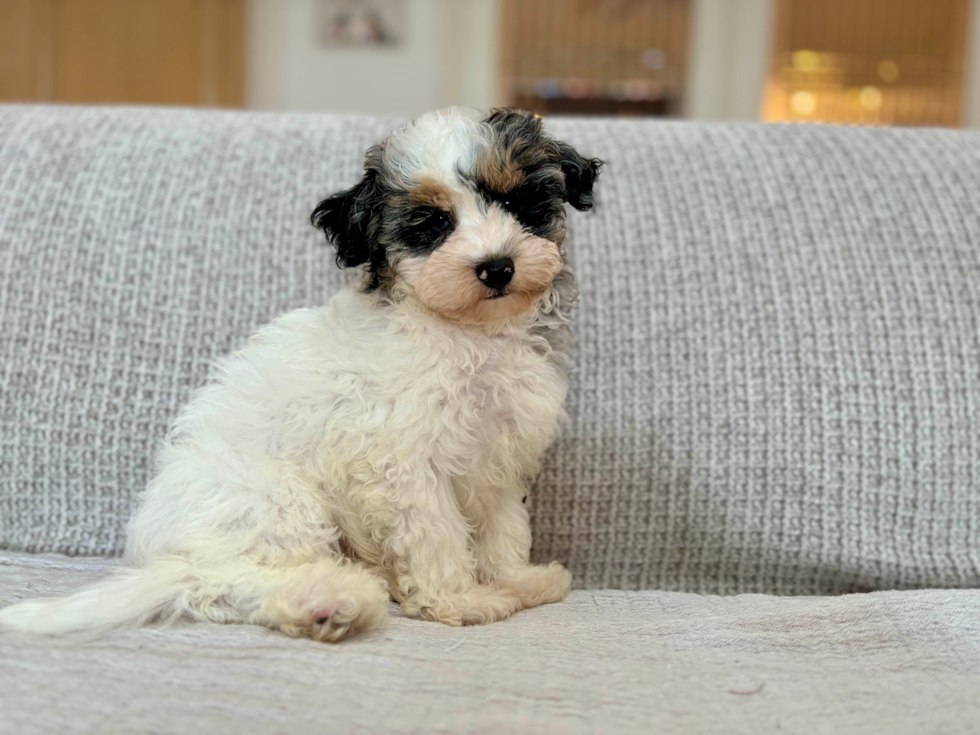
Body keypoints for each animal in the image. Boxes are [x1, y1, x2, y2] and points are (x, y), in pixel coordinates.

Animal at [0, 108, 600, 644]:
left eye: (517, 203)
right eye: (433, 225)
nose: (496, 267)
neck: (470, 333)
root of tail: (169, 558)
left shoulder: (501, 453)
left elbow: (502, 528)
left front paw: (517, 581)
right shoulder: (404, 463)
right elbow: (436, 534)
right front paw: (461, 601)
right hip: (277, 501)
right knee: (225, 583)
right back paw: (330, 600)